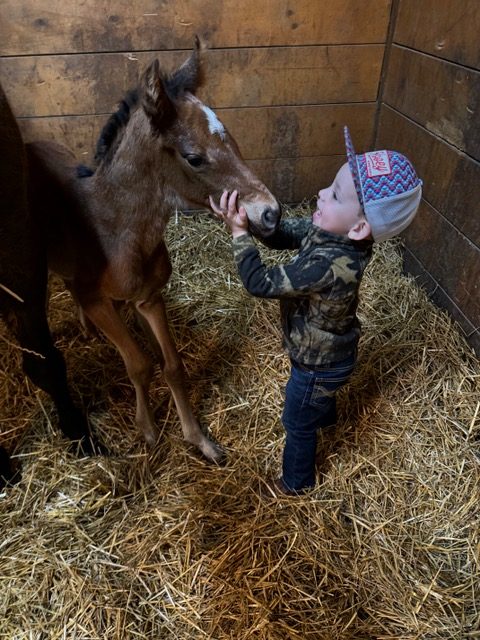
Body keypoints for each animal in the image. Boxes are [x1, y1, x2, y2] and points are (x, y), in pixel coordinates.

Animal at [26, 38, 282, 460]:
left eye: (231, 139)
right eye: (194, 157)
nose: (270, 212)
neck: (118, 231)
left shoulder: (150, 296)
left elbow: (172, 364)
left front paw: (199, 440)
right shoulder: (98, 299)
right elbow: (139, 365)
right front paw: (146, 431)